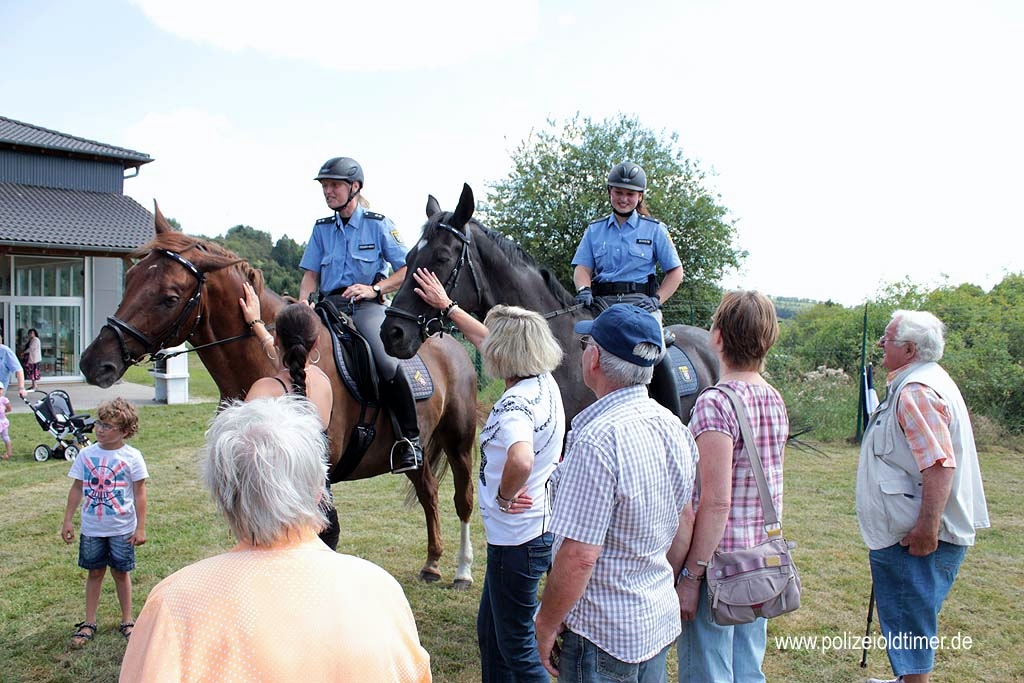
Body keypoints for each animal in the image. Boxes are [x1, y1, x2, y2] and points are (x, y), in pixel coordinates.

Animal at [79, 204, 479, 589]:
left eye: (170, 298)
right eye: (130, 279)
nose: (94, 362)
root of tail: (451, 343)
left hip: (458, 442)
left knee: (462, 499)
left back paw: (462, 571)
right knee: (428, 492)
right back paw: (431, 564)